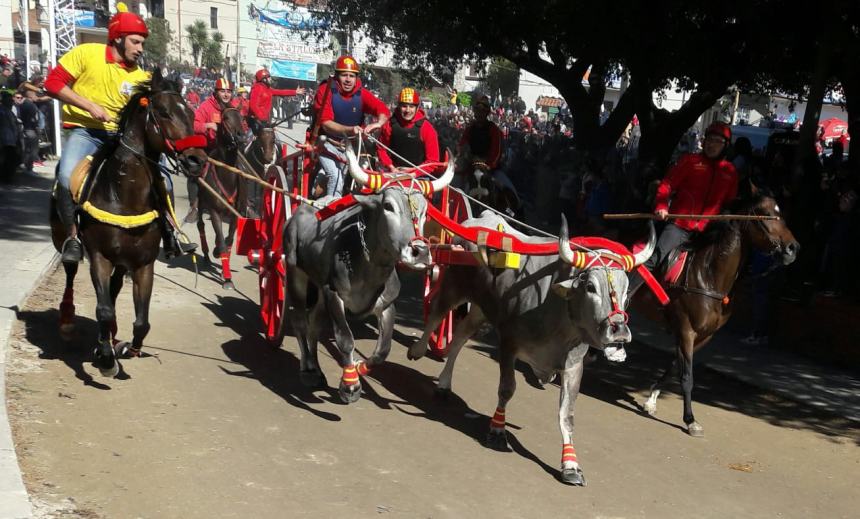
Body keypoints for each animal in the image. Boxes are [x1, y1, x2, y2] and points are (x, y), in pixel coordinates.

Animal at [50, 70, 207, 378]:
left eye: (191, 113)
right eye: (164, 112)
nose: (197, 159)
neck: (123, 194)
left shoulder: (143, 263)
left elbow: (141, 321)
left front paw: (124, 348)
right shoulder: (99, 256)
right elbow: (103, 309)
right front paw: (106, 359)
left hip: (122, 262)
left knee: (113, 290)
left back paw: (109, 337)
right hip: (65, 241)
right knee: (71, 271)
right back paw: (68, 321)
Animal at [196, 107, 247, 290]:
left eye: (242, 118)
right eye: (225, 118)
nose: (241, 136)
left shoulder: (236, 213)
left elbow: (229, 241)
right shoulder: (214, 211)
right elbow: (223, 243)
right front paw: (227, 279)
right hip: (200, 201)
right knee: (200, 224)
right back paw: (206, 256)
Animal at [632, 189, 800, 436]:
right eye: (766, 214)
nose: (792, 248)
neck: (708, 275)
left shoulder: (703, 335)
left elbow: (675, 367)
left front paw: (651, 399)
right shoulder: (686, 330)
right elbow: (687, 376)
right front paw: (690, 420)